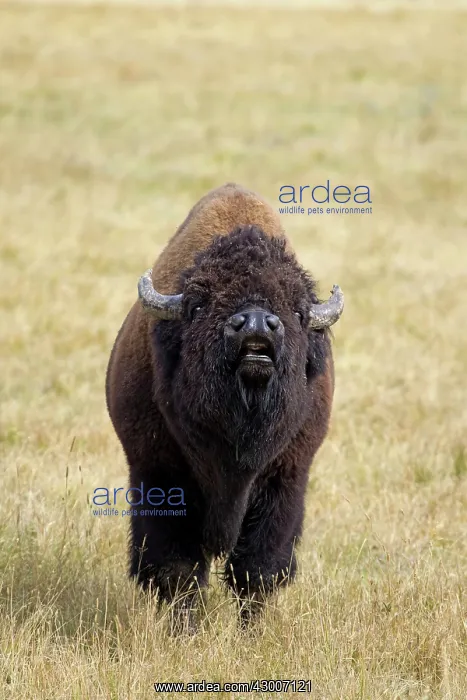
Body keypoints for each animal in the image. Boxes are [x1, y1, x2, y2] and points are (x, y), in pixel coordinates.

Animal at [106, 183, 344, 631]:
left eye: (299, 312)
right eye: (197, 306)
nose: (256, 322)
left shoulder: (287, 478)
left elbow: (257, 571)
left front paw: (251, 633)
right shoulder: (159, 476)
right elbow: (177, 570)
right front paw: (185, 634)